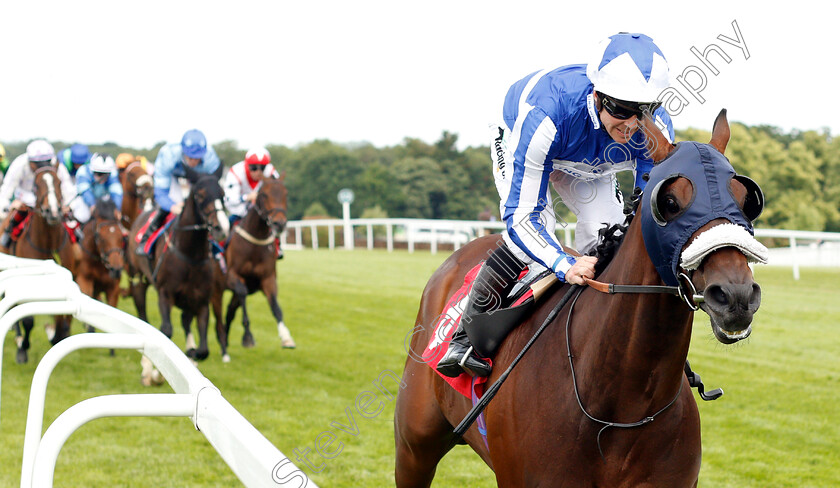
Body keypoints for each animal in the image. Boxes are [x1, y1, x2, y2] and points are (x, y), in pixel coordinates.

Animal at [0, 167, 78, 362]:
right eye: (36, 184)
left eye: (59, 182)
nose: (53, 212)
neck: (48, 243)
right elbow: (27, 320)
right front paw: (23, 348)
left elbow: (60, 319)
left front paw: (56, 334)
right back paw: (19, 339)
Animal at [127, 175, 230, 358]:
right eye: (200, 195)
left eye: (223, 194)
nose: (221, 228)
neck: (191, 255)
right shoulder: (165, 294)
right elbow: (166, 330)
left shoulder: (201, 301)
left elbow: (203, 350)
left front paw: (192, 352)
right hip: (138, 279)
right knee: (142, 312)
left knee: (185, 320)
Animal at [212, 175, 294, 362]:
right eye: (264, 194)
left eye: (285, 193)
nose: (279, 223)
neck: (255, 243)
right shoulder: (233, 277)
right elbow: (243, 297)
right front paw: (248, 336)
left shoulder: (268, 279)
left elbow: (276, 307)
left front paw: (286, 337)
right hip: (216, 290)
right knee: (220, 316)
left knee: (229, 313)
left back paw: (225, 342)